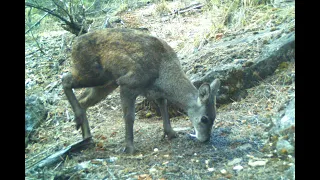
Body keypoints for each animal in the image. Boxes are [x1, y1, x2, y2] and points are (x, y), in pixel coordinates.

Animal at [61, 28, 220, 153]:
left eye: (214, 117)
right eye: (204, 119)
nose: (206, 139)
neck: (163, 74)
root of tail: (73, 45)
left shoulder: (156, 93)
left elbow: (164, 107)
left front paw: (171, 133)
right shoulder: (128, 83)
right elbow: (129, 117)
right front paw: (129, 148)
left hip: (106, 83)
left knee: (83, 100)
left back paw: (86, 137)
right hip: (92, 73)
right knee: (65, 79)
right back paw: (80, 124)